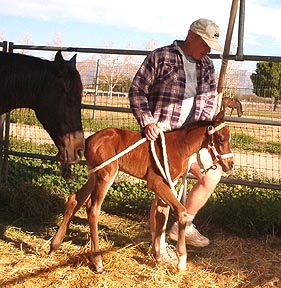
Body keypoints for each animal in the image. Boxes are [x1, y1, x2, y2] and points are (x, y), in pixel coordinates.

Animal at [49, 111, 233, 274]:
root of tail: (88, 140)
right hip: (106, 174)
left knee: (75, 199)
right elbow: (181, 211)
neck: (179, 147)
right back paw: (98, 262)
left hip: (95, 173)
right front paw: (181, 261)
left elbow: (161, 216)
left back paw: (54, 246)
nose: (230, 164)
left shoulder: (168, 183)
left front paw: (158, 257)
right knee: (92, 208)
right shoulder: (155, 182)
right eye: (221, 138)